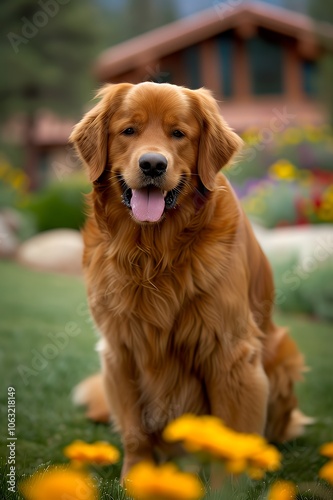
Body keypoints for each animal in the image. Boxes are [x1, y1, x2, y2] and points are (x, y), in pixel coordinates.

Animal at [68, 83, 308, 480]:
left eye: (178, 134)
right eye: (129, 130)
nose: (153, 164)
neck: (152, 253)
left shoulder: (230, 352)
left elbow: (231, 435)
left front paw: (228, 487)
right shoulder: (120, 349)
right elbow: (134, 431)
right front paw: (136, 478)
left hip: (284, 354)